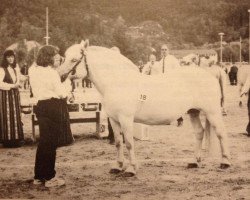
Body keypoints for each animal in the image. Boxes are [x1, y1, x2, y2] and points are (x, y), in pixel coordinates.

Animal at [56, 40, 230, 177]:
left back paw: (225, 162)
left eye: (74, 59)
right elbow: (118, 142)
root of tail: (209, 75)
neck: (118, 82)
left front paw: (131, 169)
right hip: (193, 112)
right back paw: (195, 162)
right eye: (64, 57)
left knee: (221, 133)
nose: (59, 76)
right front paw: (117, 166)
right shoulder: (113, 119)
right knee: (199, 133)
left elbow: (128, 143)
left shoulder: (126, 119)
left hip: (212, 112)